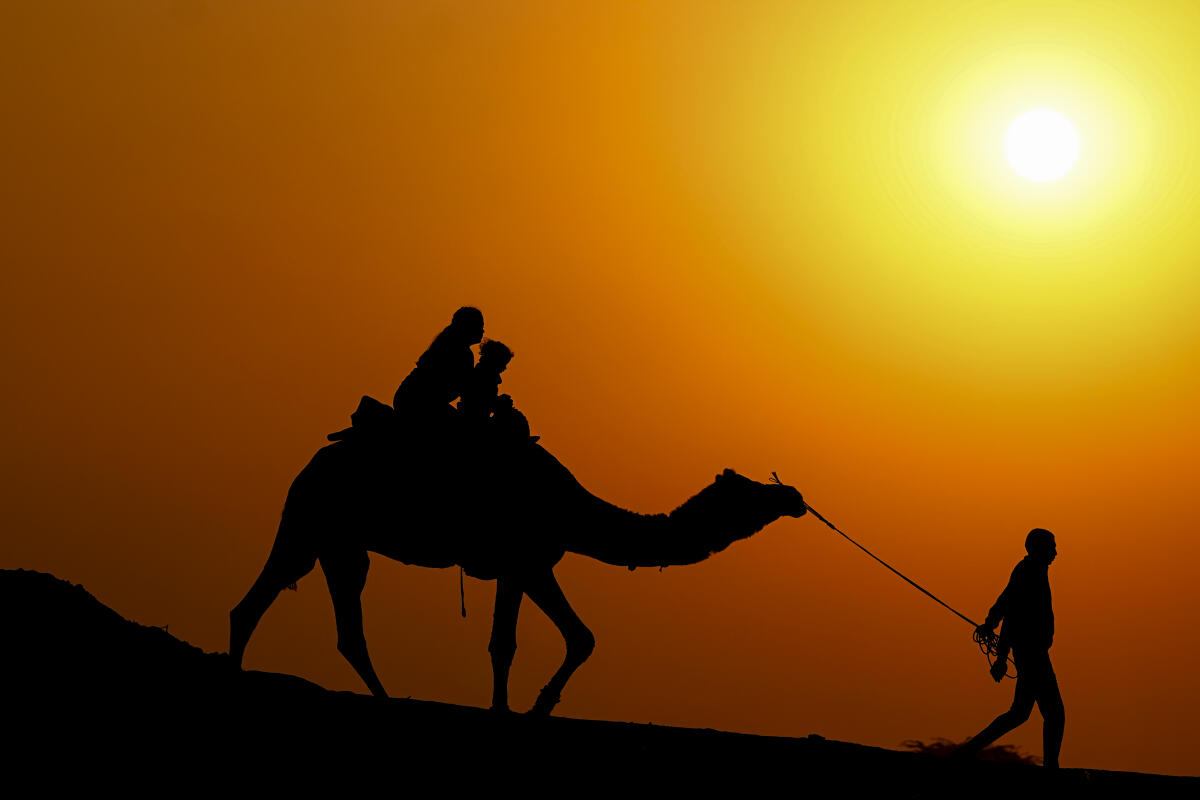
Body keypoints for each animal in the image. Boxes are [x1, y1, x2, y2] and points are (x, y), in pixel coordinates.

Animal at [229, 417, 808, 715]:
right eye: (752, 490)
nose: (795, 496)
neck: (572, 508)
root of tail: (309, 466)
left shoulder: (527, 565)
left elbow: (561, 638)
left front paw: (529, 707)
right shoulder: (524, 560)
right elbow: (525, 642)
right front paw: (518, 710)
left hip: (333, 541)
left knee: (316, 618)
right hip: (313, 522)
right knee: (274, 606)